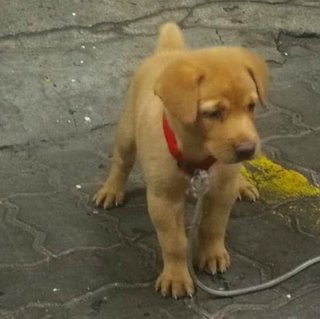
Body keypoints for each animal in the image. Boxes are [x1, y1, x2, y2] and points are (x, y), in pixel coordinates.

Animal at [94, 23, 268, 300]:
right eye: (213, 113)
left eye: (251, 106)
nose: (247, 150)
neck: (198, 155)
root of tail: (170, 51)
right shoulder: (163, 199)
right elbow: (174, 243)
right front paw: (176, 277)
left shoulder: (221, 192)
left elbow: (213, 226)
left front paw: (212, 254)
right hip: (127, 133)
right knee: (121, 162)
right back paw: (111, 190)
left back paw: (242, 183)